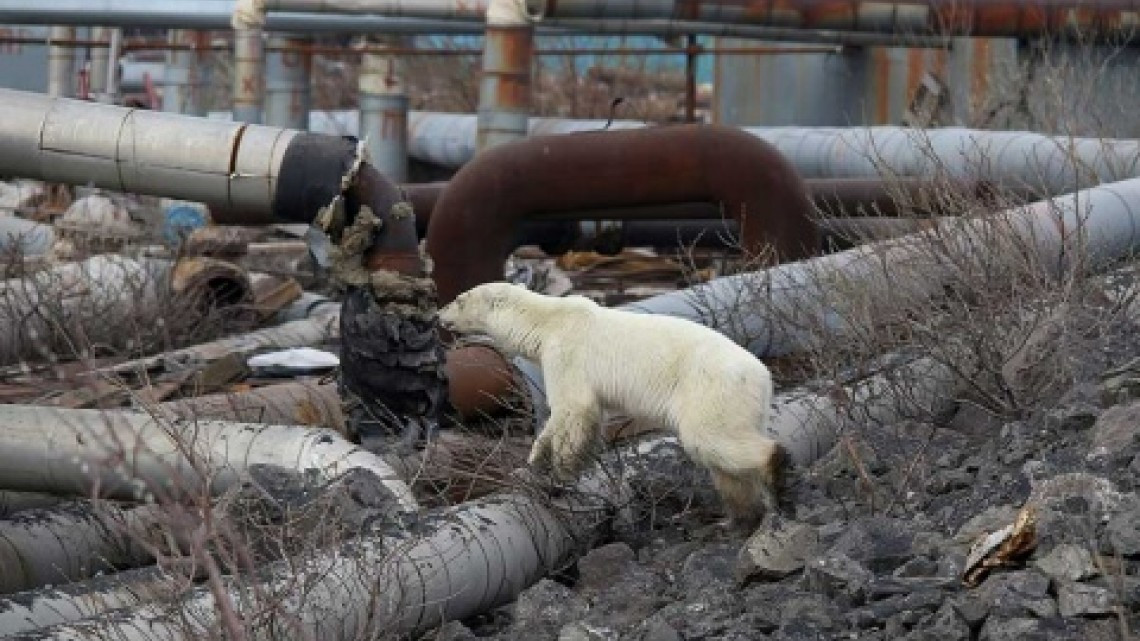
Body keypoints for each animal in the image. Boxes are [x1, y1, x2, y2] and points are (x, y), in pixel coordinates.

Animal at [438, 281, 786, 530]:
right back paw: (737, 518)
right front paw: (534, 463)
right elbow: (575, 417)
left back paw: (774, 470)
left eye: (458, 298)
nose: (438, 315)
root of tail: (764, 376)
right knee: (727, 466)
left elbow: (573, 407)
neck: (547, 321)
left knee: (712, 439)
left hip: (711, 390)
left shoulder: (566, 353)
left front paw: (560, 475)